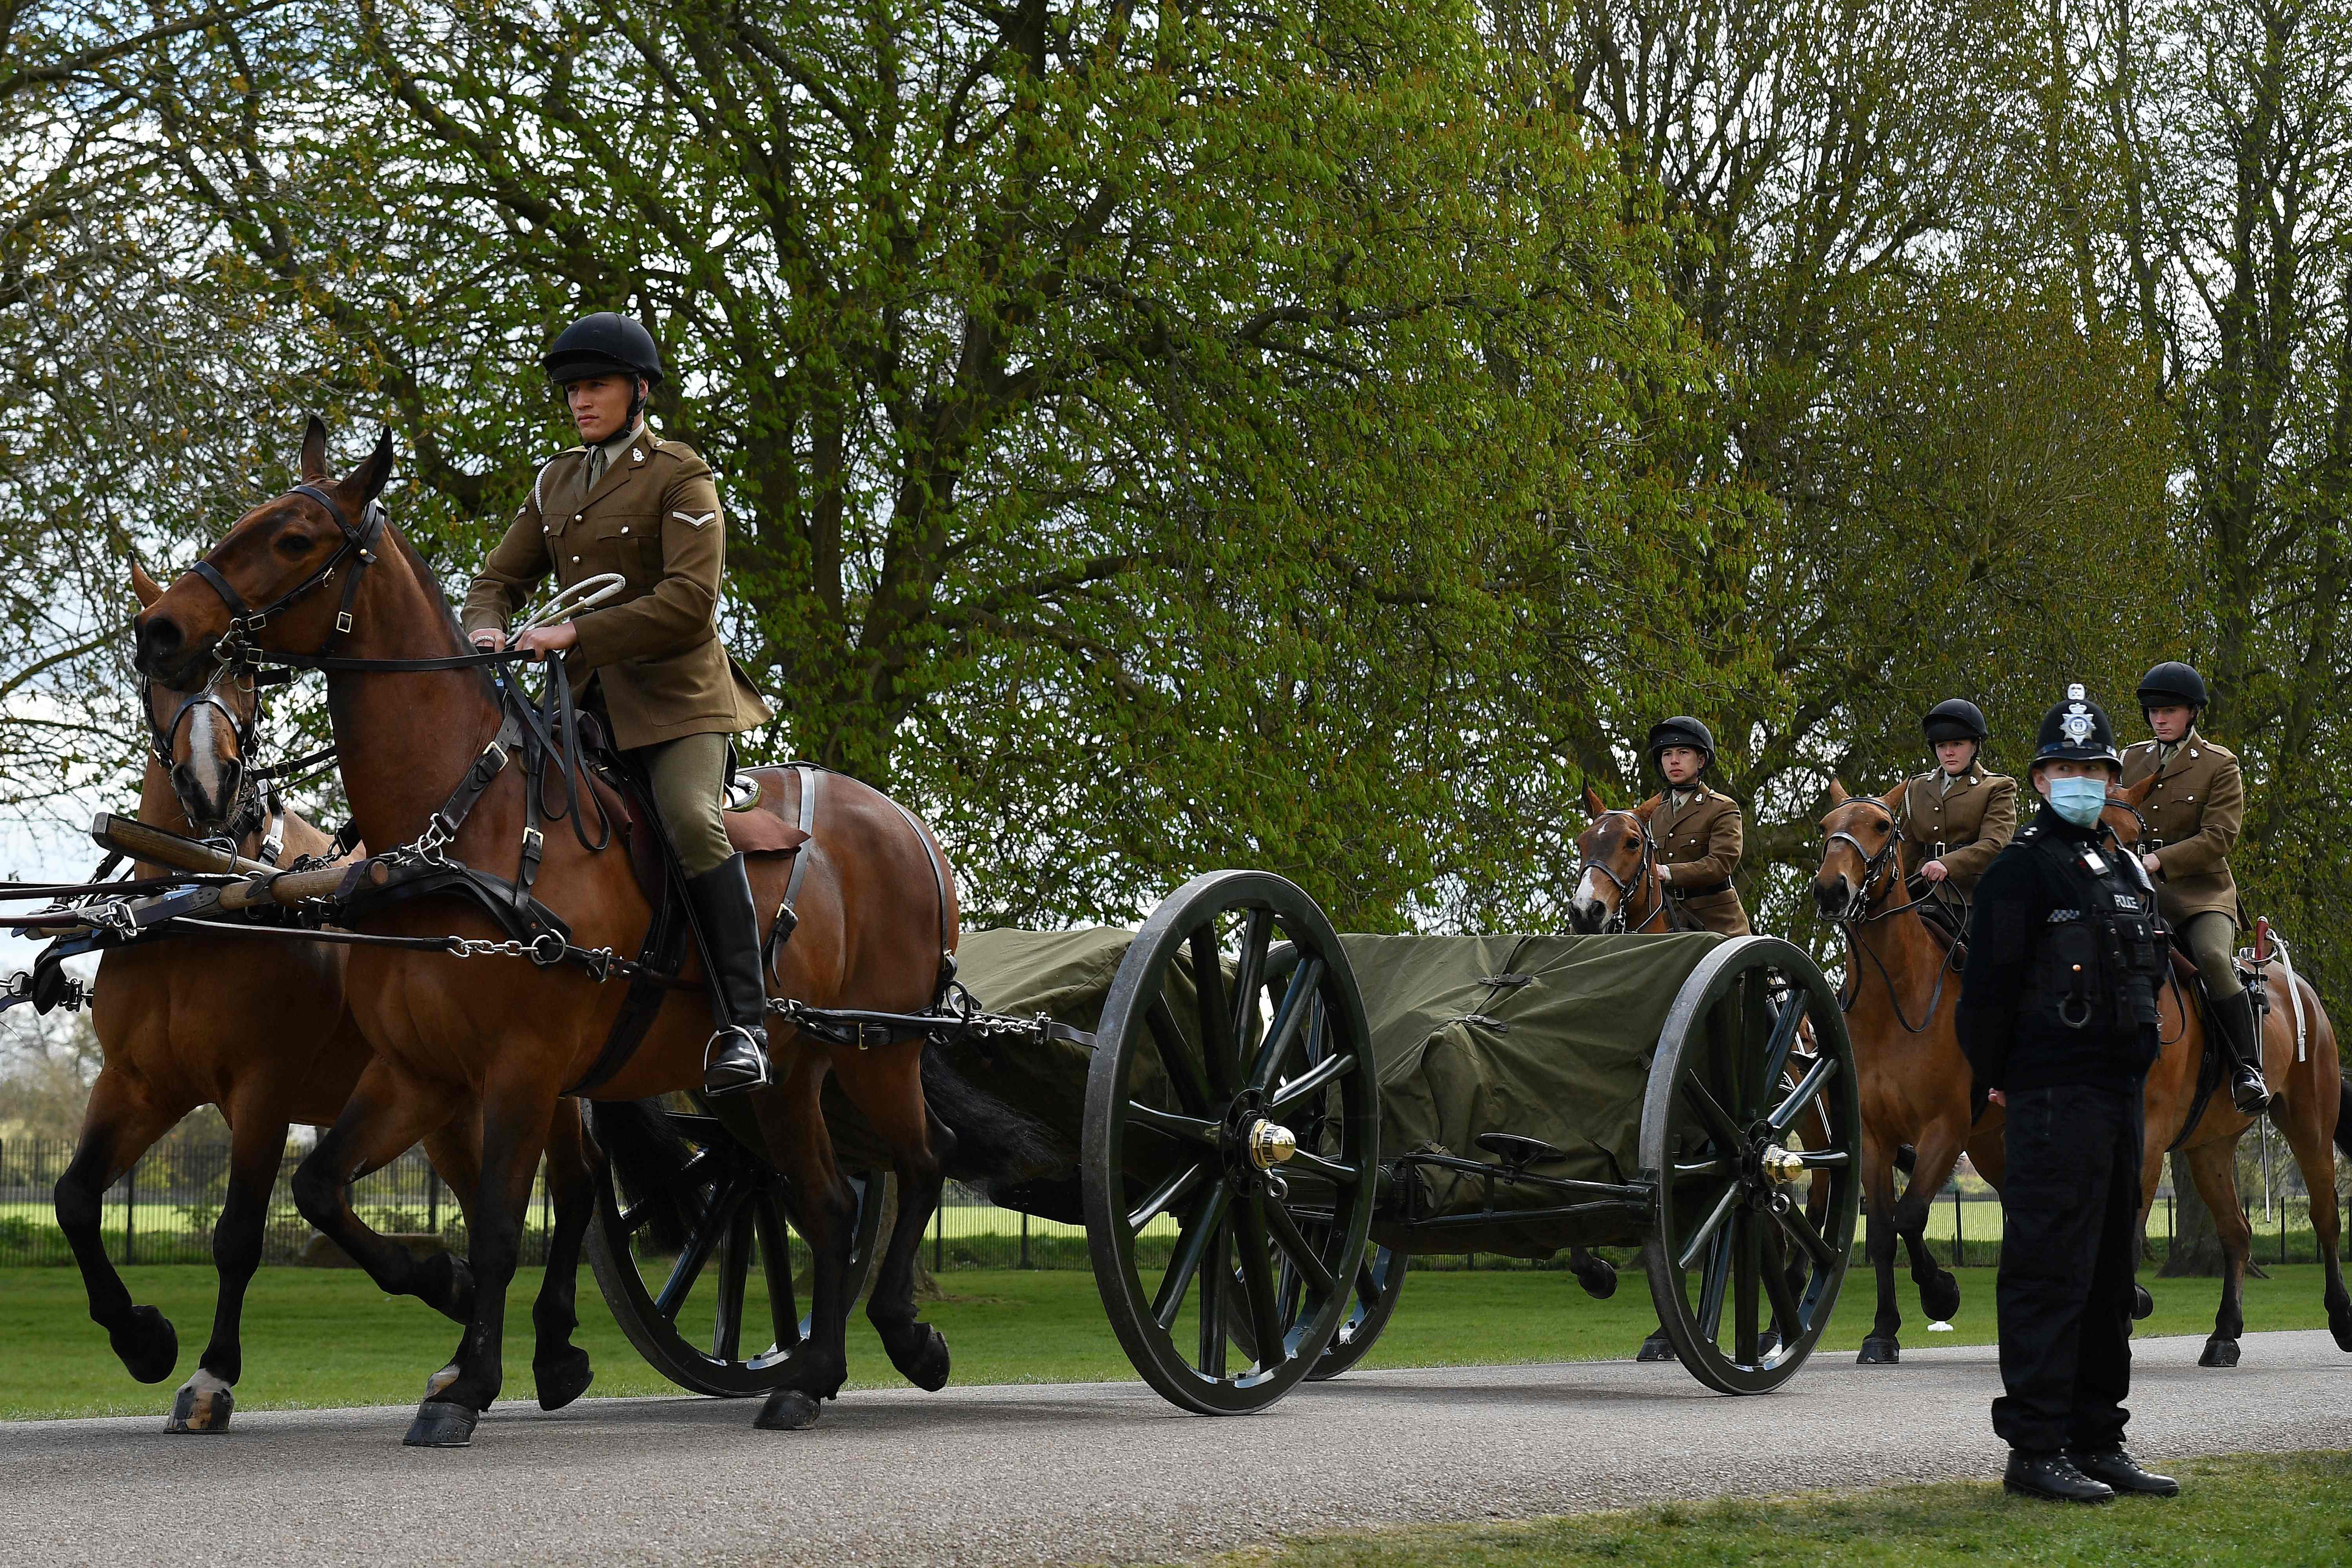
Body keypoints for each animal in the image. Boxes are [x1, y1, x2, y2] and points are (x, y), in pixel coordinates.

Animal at [58, 557, 597, 1429]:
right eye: (158, 673)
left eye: (246, 674)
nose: (211, 786)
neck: (205, 897)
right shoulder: (139, 1083)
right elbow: (75, 1199)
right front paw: (142, 1338)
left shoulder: (263, 1089)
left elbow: (238, 1233)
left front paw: (211, 1375)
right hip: (449, 1105)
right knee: (489, 1196)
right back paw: (464, 1340)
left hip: (539, 1082)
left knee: (575, 1195)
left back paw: (546, 1346)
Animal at [131, 425, 1049, 1448]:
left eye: (292, 537)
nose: (158, 631)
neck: (469, 822)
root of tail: (908, 825)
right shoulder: (418, 1069)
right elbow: (324, 1187)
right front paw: (441, 1286)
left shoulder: (522, 1070)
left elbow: (500, 1226)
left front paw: (467, 1382)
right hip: (788, 1077)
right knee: (830, 1200)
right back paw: (810, 1374)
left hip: (879, 1047)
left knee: (920, 1163)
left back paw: (899, 1336)